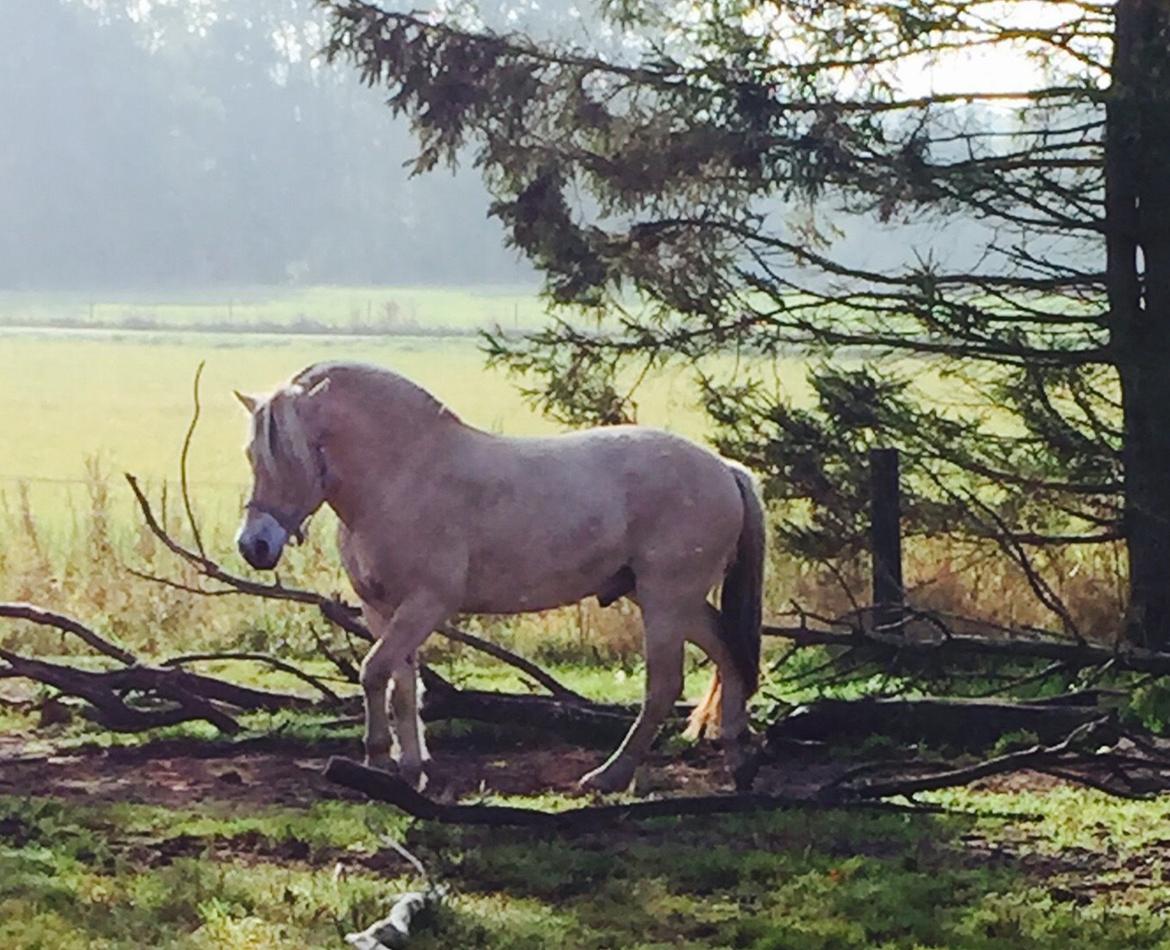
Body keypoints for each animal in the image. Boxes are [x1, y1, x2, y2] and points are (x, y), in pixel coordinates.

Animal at [235, 360, 767, 790]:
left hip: (665, 599)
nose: (253, 546)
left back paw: (610, 775)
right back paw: (738, 760)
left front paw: (380, 763)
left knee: (664, 685)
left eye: (296, 453)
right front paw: (410, 770)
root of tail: (724, 468)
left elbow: (374, 673)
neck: (405, 476)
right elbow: (402, 686)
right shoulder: (382, 610)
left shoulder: (426, 604)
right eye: (251, 454)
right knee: (728, 656)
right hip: (672, 599)